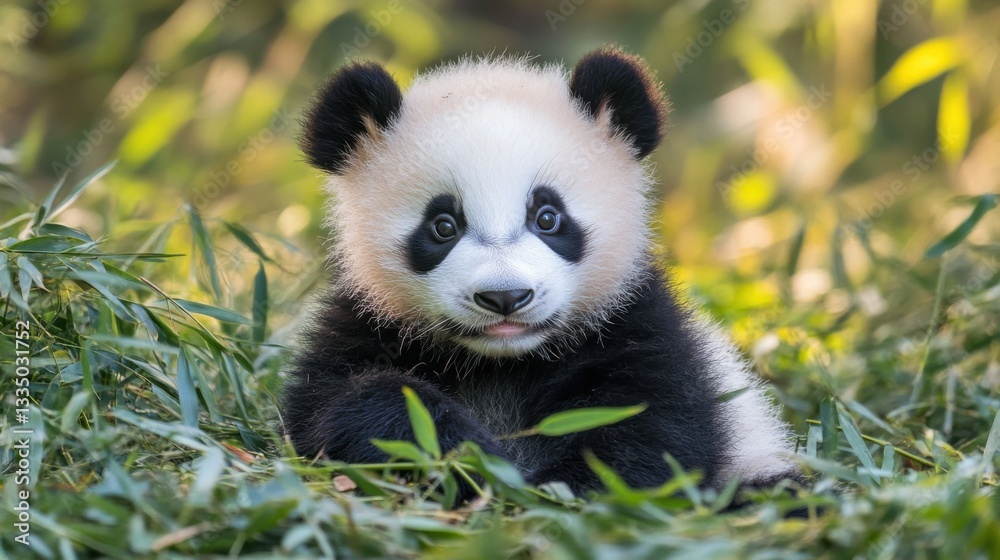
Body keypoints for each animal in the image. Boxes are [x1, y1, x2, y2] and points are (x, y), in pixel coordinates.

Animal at [283, 46, 801, 497]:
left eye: (548, 217)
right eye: (443, 225)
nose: (505, 297)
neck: (502, 363)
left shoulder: (640, 327)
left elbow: (652, 432)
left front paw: (556, 488)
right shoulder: (364, 325)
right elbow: (338, 407)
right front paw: (467, 455)